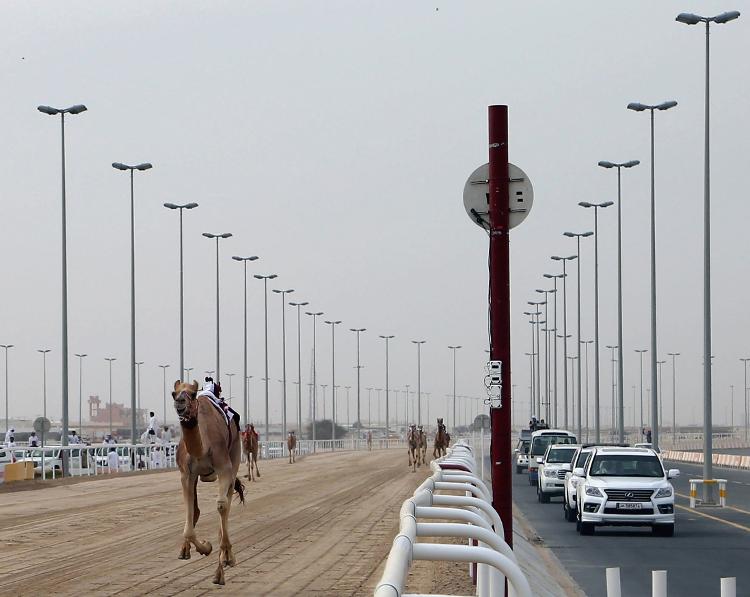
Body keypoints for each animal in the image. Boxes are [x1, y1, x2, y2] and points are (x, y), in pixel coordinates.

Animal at [173, 380, 244, 584]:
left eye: (192, 394)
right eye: (174, 393)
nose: (180, 402)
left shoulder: (224, 467)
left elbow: (221, 505)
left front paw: (222, 564)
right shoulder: (186, 474)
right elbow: (189, 514)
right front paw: (205, 546)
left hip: (235, 453)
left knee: (227, 502)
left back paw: (226, 552)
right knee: (196, 510)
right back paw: (185, 550)